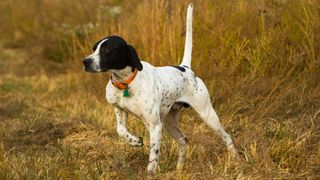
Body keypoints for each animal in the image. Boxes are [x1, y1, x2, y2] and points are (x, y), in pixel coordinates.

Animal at [82, 3, 238, 174]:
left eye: (106, 50)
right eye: (94, 48)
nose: (85, 62)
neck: (127, 83)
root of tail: (185, 68)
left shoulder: (155, 126)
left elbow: (154, 152)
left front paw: (150, 171)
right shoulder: (120, 110)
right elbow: (120, 130)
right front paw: (134, 141)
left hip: (207, 115)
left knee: (226, 136)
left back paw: (235, 159)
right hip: (169, 121)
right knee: (183, 140)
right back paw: (179, 167)